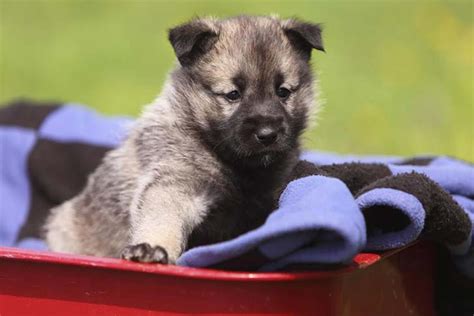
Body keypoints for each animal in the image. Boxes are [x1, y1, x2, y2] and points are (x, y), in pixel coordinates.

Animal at [44, 16, 324, 264]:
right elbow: (162, 217)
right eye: (233, 94)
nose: (267, 134)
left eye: (283, 92)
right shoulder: (176, 182)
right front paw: (152, 248)